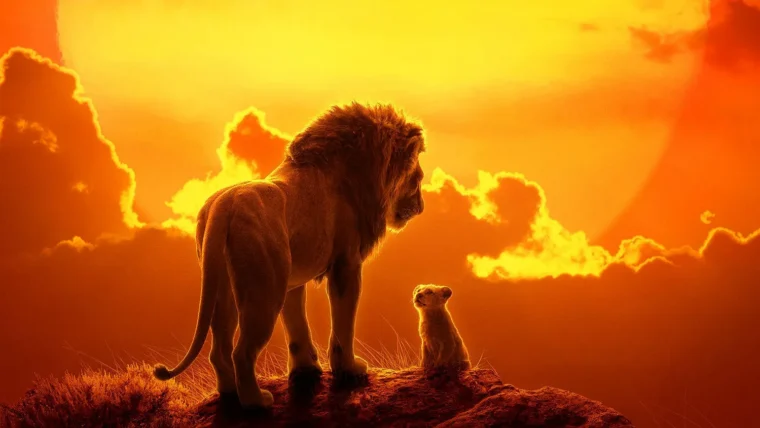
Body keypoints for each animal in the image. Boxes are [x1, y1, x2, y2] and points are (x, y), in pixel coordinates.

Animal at [152, 102, 426, 409]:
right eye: (417, 179)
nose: (421, 207)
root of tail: (224, 206)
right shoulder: (346, 264)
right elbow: (343, 323)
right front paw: (350, 369)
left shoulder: (292, 279)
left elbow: (296, 325)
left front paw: (306, 369)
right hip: (264, 291)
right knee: (242, 352)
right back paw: (256, 402)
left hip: (224, 288)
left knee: (219, 349)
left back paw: (230, 394)